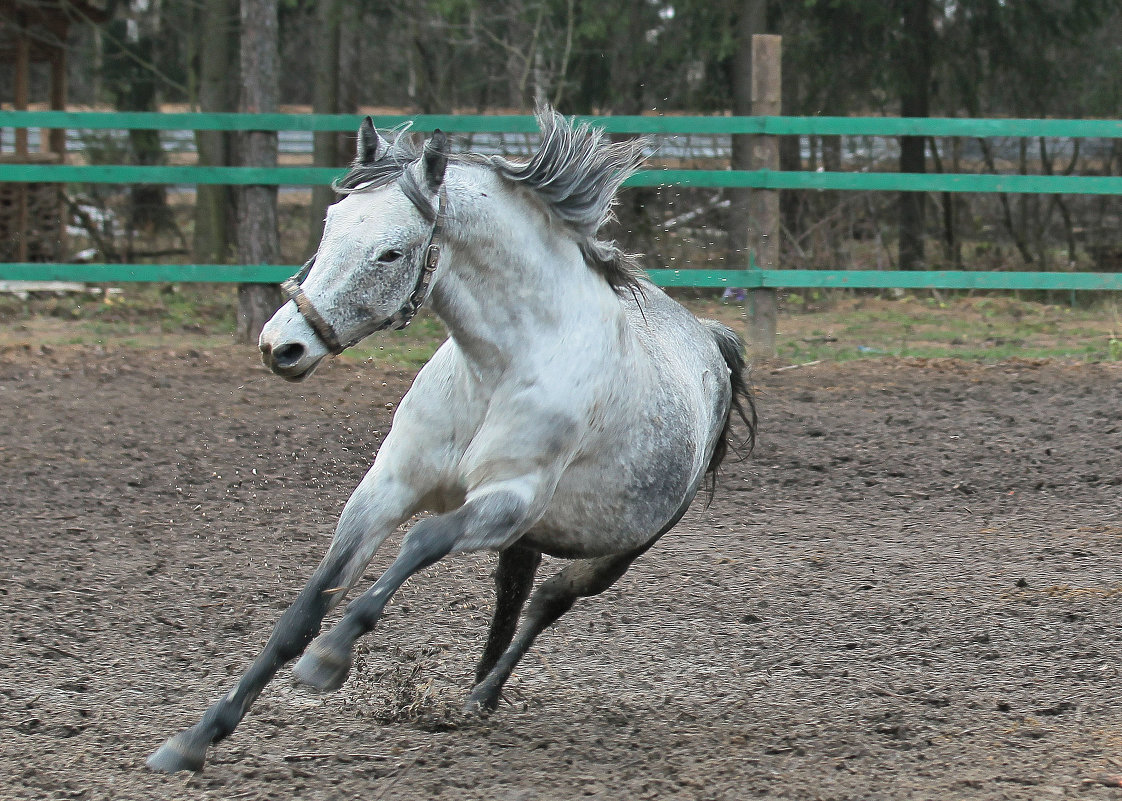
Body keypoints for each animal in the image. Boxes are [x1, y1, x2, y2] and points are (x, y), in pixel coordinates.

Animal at [146, 104, 753, 767]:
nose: (283, 346)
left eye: (390, 253)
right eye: (330, 225)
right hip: (531, 538)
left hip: (616, 549)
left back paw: (483, 693)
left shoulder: (508, 501)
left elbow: (423, 540)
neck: (498, 368)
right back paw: (475, 694)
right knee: (513, 597)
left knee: (550, 601)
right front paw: (195, 739)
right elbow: (304, 609)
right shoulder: (389, 487)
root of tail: (710, 340)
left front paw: (329, 659)